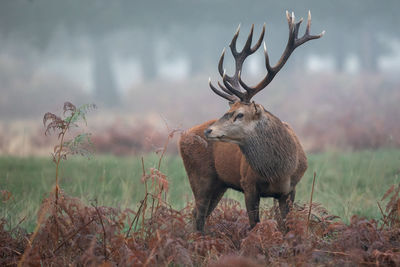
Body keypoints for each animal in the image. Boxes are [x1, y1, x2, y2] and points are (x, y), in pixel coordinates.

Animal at [179, 11, 324, 232]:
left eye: (239, 114)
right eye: (227, 110)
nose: (209, 131)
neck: (278, 172)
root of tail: (182, 137)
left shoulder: (290, 189)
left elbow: (285, 226)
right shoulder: (248, 184)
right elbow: (254, 225)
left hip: (219, 184)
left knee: (197, 214)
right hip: (199, 176)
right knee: (198, 215)